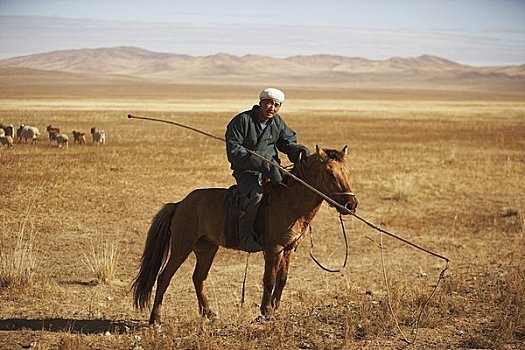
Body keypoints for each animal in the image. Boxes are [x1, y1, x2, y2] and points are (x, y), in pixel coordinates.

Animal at [133, 145, 358, 326]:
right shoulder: (273, 250)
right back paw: (156, 319)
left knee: (198, 277)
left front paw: (275, 309)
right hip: (182, 246)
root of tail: (180, 204)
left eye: (347, 172)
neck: (290, 202)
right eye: (330, 173)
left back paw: (209, 313)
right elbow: (269, 280)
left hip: (206, 248)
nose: (351, 205)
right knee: (164, 277)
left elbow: (282, 280)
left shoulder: (288, 249)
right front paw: (265, 312)